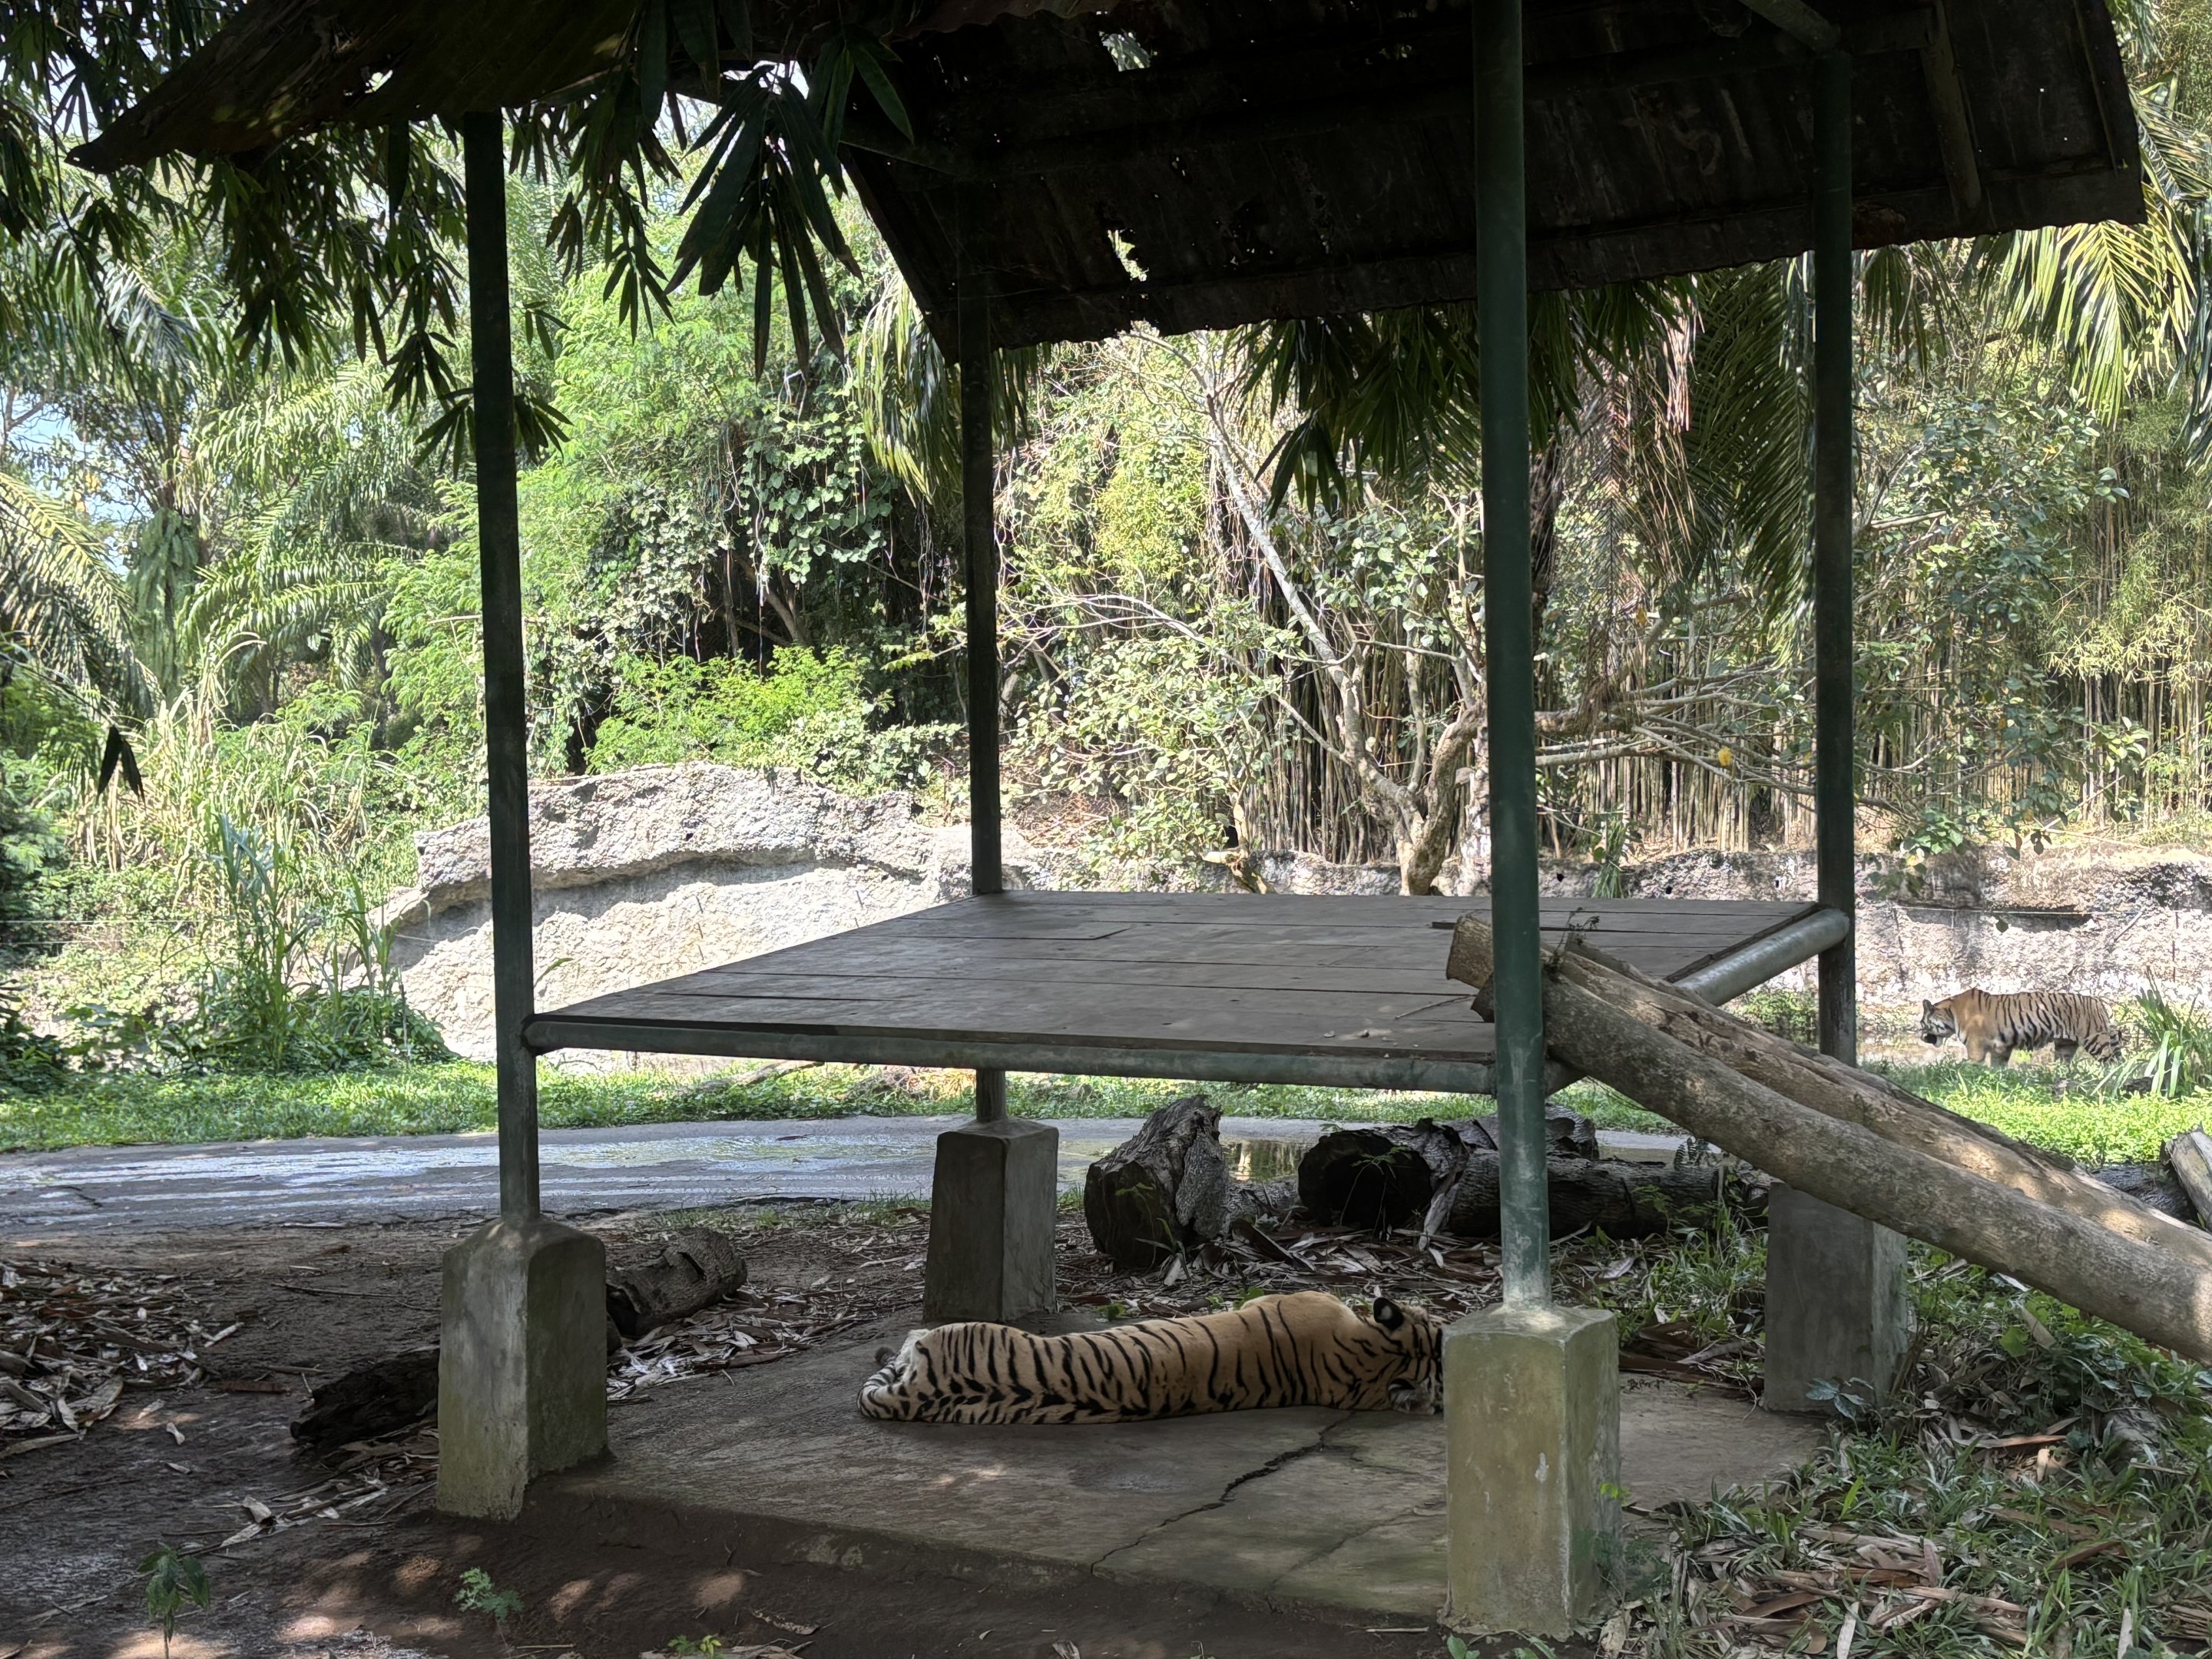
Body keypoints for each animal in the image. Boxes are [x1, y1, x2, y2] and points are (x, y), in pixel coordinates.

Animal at [1919, 987, 2124, 1067]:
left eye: (1922, 1024)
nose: (1920, 1036)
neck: (1951, 1013)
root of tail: (2097, 1001)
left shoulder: (1976, 1049)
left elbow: (1969, 1065)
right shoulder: (2001, 1049)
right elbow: (1997, 1068)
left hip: (2095, 1040)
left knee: (2112, 1062)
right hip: (2065, 1046)